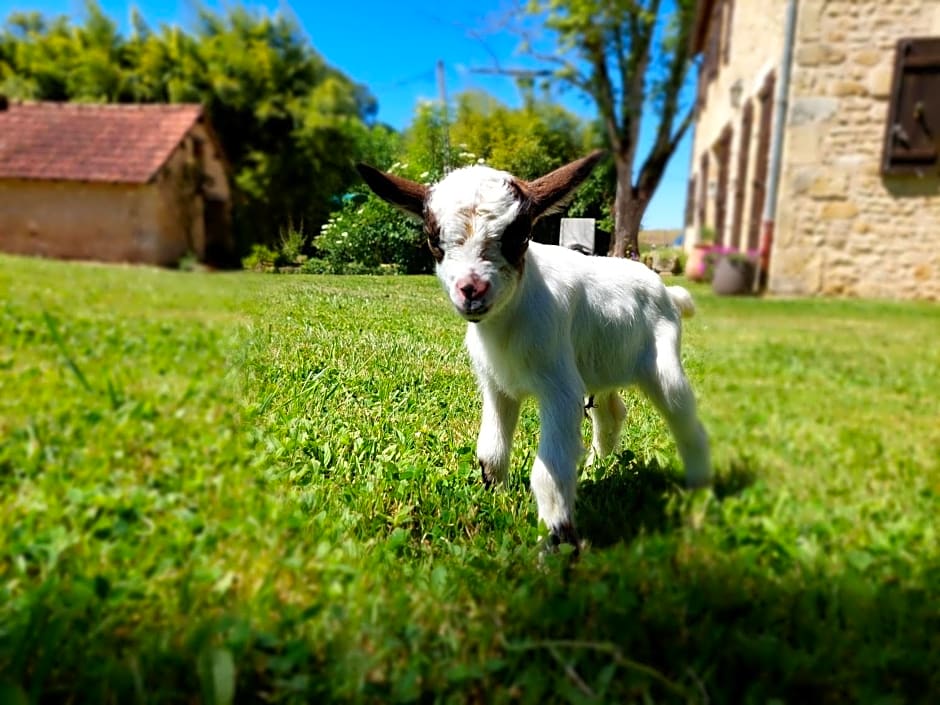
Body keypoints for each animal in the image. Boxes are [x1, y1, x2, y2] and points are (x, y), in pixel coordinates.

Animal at [356, 151, 708, 552]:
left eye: (520, 235)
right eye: (433, 239)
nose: (472, 290)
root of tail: (668, 292)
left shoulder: (560, 388)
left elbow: (549, 472)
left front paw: (558, 542)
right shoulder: (496, 384)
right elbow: (490, 451)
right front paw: (493, 498)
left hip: (662, 361)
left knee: (686, 421)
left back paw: (699, 491)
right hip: (601, 362)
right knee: (611, 412)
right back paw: (598, 464)